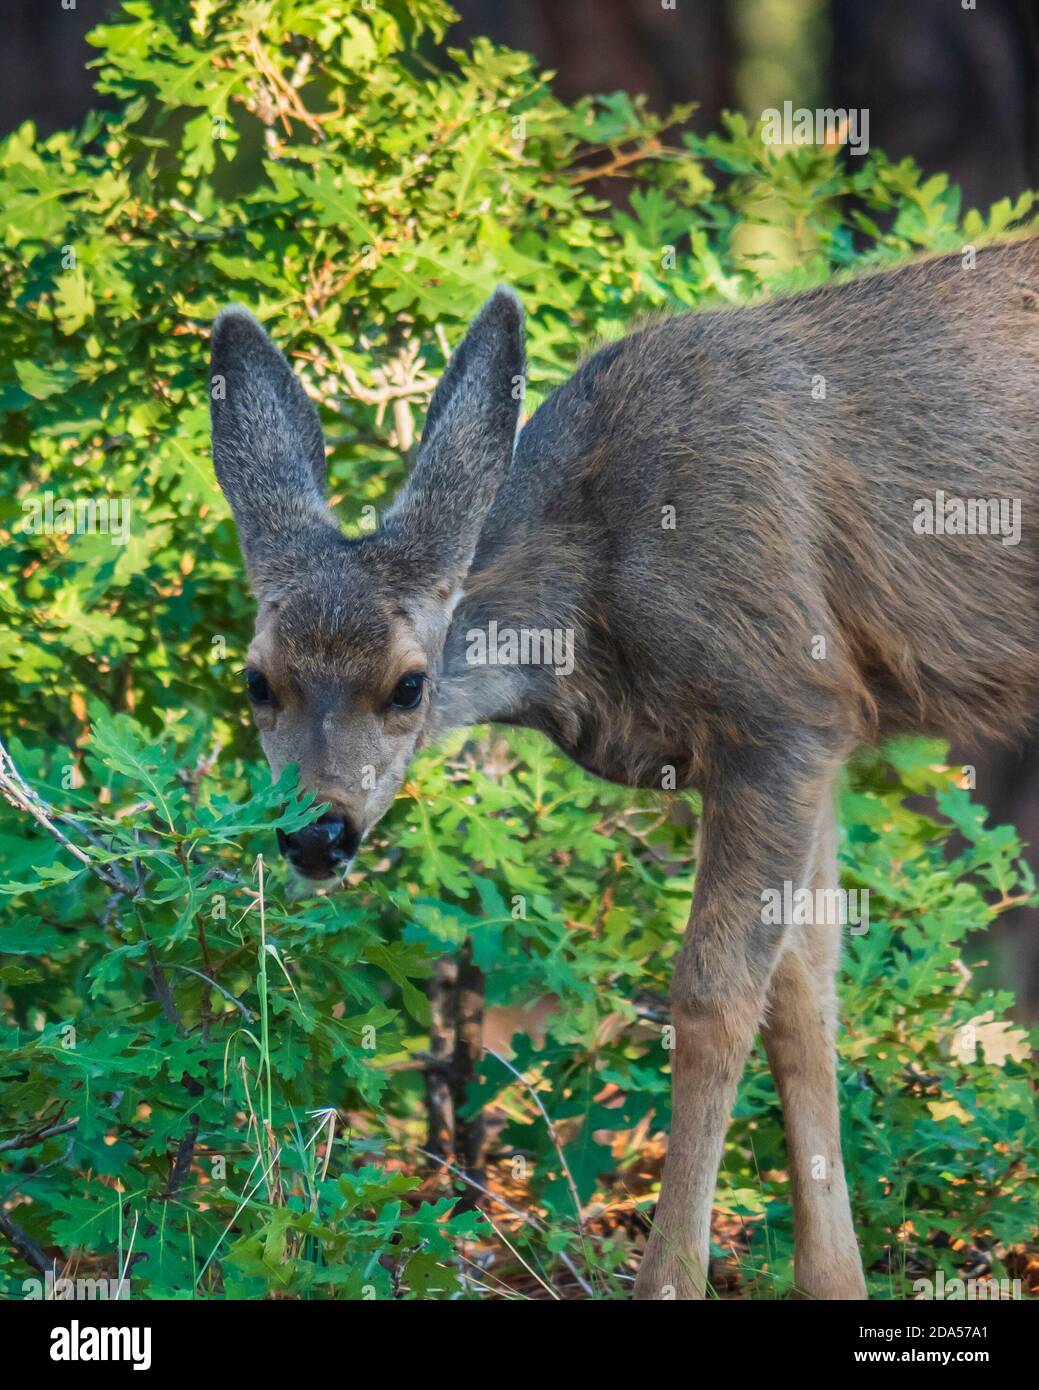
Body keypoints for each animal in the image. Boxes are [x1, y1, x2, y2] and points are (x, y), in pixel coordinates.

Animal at [207, 233, 1039, 1295]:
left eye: (408, 685)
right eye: (256, 681)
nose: (317, 832)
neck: (598, 602)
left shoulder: (780, 705)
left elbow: (714, 995)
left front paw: (671, 1276)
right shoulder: (821, 739)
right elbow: (803, 994)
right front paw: (833, 1280)